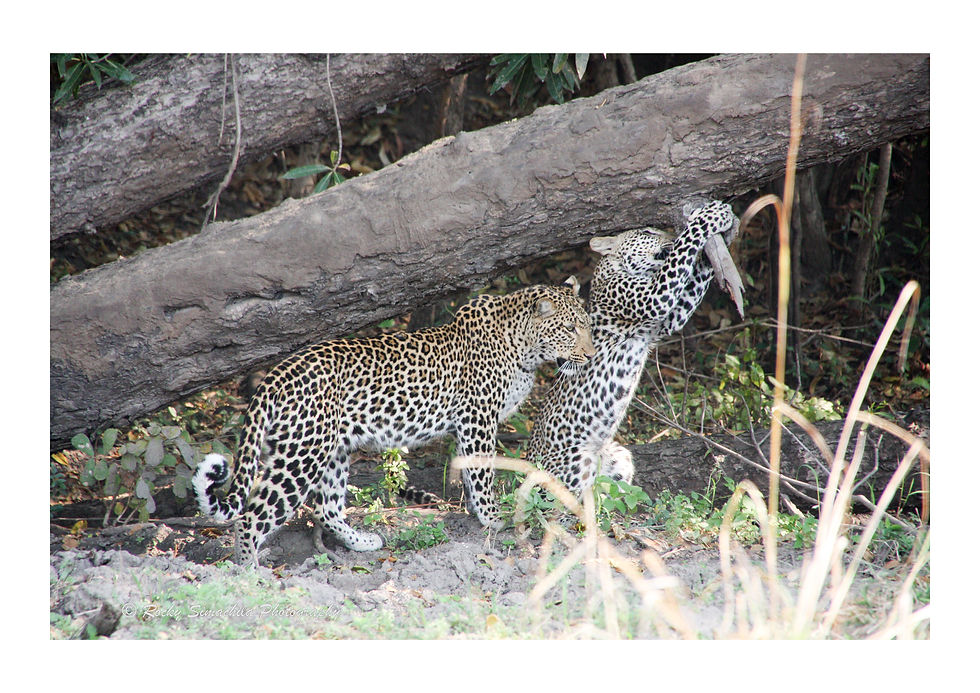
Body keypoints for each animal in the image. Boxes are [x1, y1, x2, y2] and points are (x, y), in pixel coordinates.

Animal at [193, 280, 595, 566]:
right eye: (570, 328)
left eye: (587, 325)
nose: (590, 356)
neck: (523, 347)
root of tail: (274, 376)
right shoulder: (478, 420)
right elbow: (483, 474)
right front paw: (496, 518)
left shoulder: (469, 425)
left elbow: (468, 473)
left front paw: (475, 516)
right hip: (302, 455)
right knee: (251, 516)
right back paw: (249, 574)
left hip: (332, 450)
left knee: (326, 507)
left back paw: (363, 542)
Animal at [525, 199, 739, 499]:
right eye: (648, 232)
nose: (669, 236)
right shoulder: (655, 296)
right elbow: (685, 247)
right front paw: (712, 215)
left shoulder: (666, 321)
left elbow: (694, 277)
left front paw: (718, 242)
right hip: (575, 463)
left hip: (618, 456)